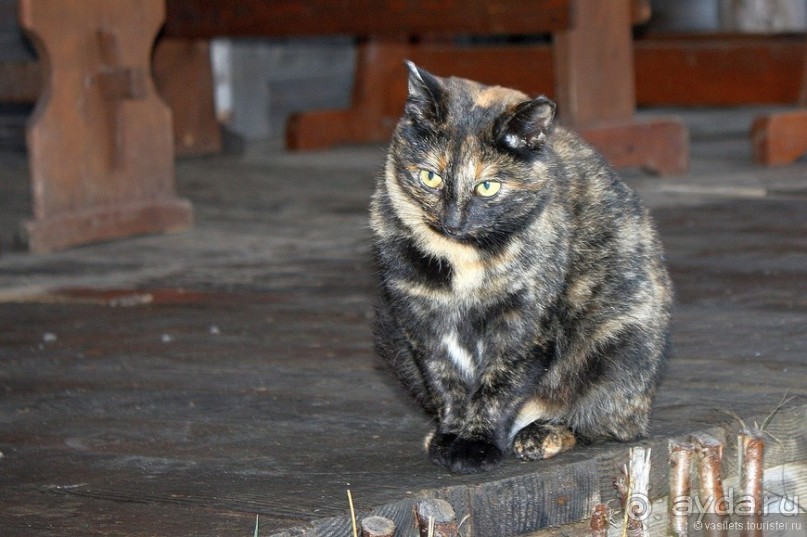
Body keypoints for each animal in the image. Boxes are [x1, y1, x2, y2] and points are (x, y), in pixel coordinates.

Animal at [370, 63, 672, 474]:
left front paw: (475, 445)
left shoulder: (524, 323)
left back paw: (540, 434)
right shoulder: (419, 320)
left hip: (621, 344)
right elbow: (444, 379)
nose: (453, 221)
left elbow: (500, 385)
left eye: (489, 186)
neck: (462, 258)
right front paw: (452, 434)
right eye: (430, 176)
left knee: (604, 423)